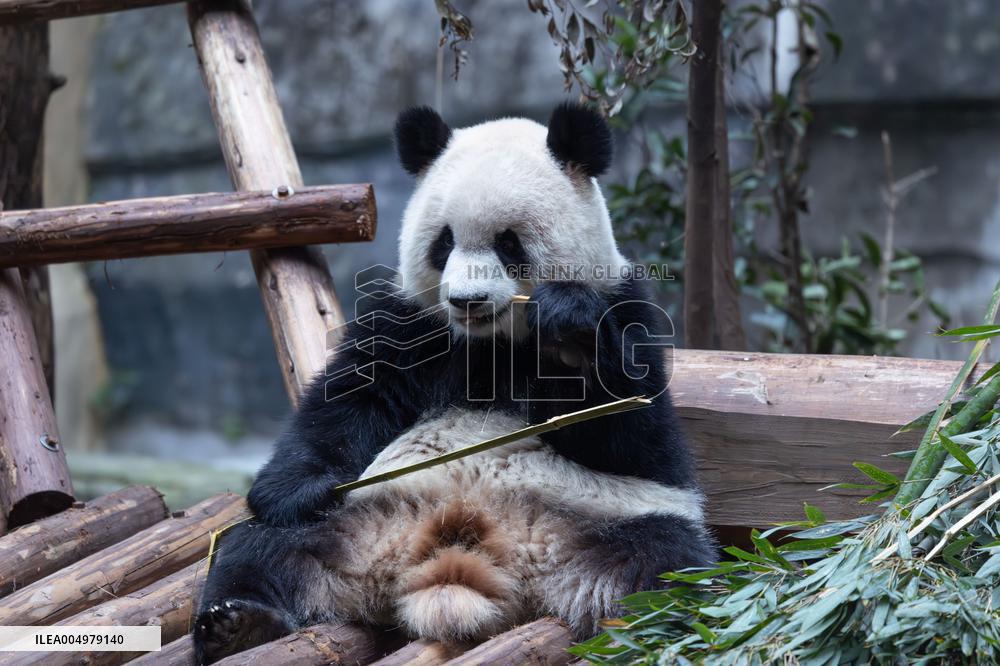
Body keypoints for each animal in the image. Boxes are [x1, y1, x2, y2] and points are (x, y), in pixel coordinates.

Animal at [193, 102, 716, 664]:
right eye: (443, 242)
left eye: (510, 243)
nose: (467, 300)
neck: (492, 342)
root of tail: (459, 558)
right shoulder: (407, 322)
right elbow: (347, 402)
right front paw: (298, 489)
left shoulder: (626, 305)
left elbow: (633, 438)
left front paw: (569, 334)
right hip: (362, 520)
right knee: (256, 547)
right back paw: (237, 624)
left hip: (603, 521)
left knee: (667, 565)